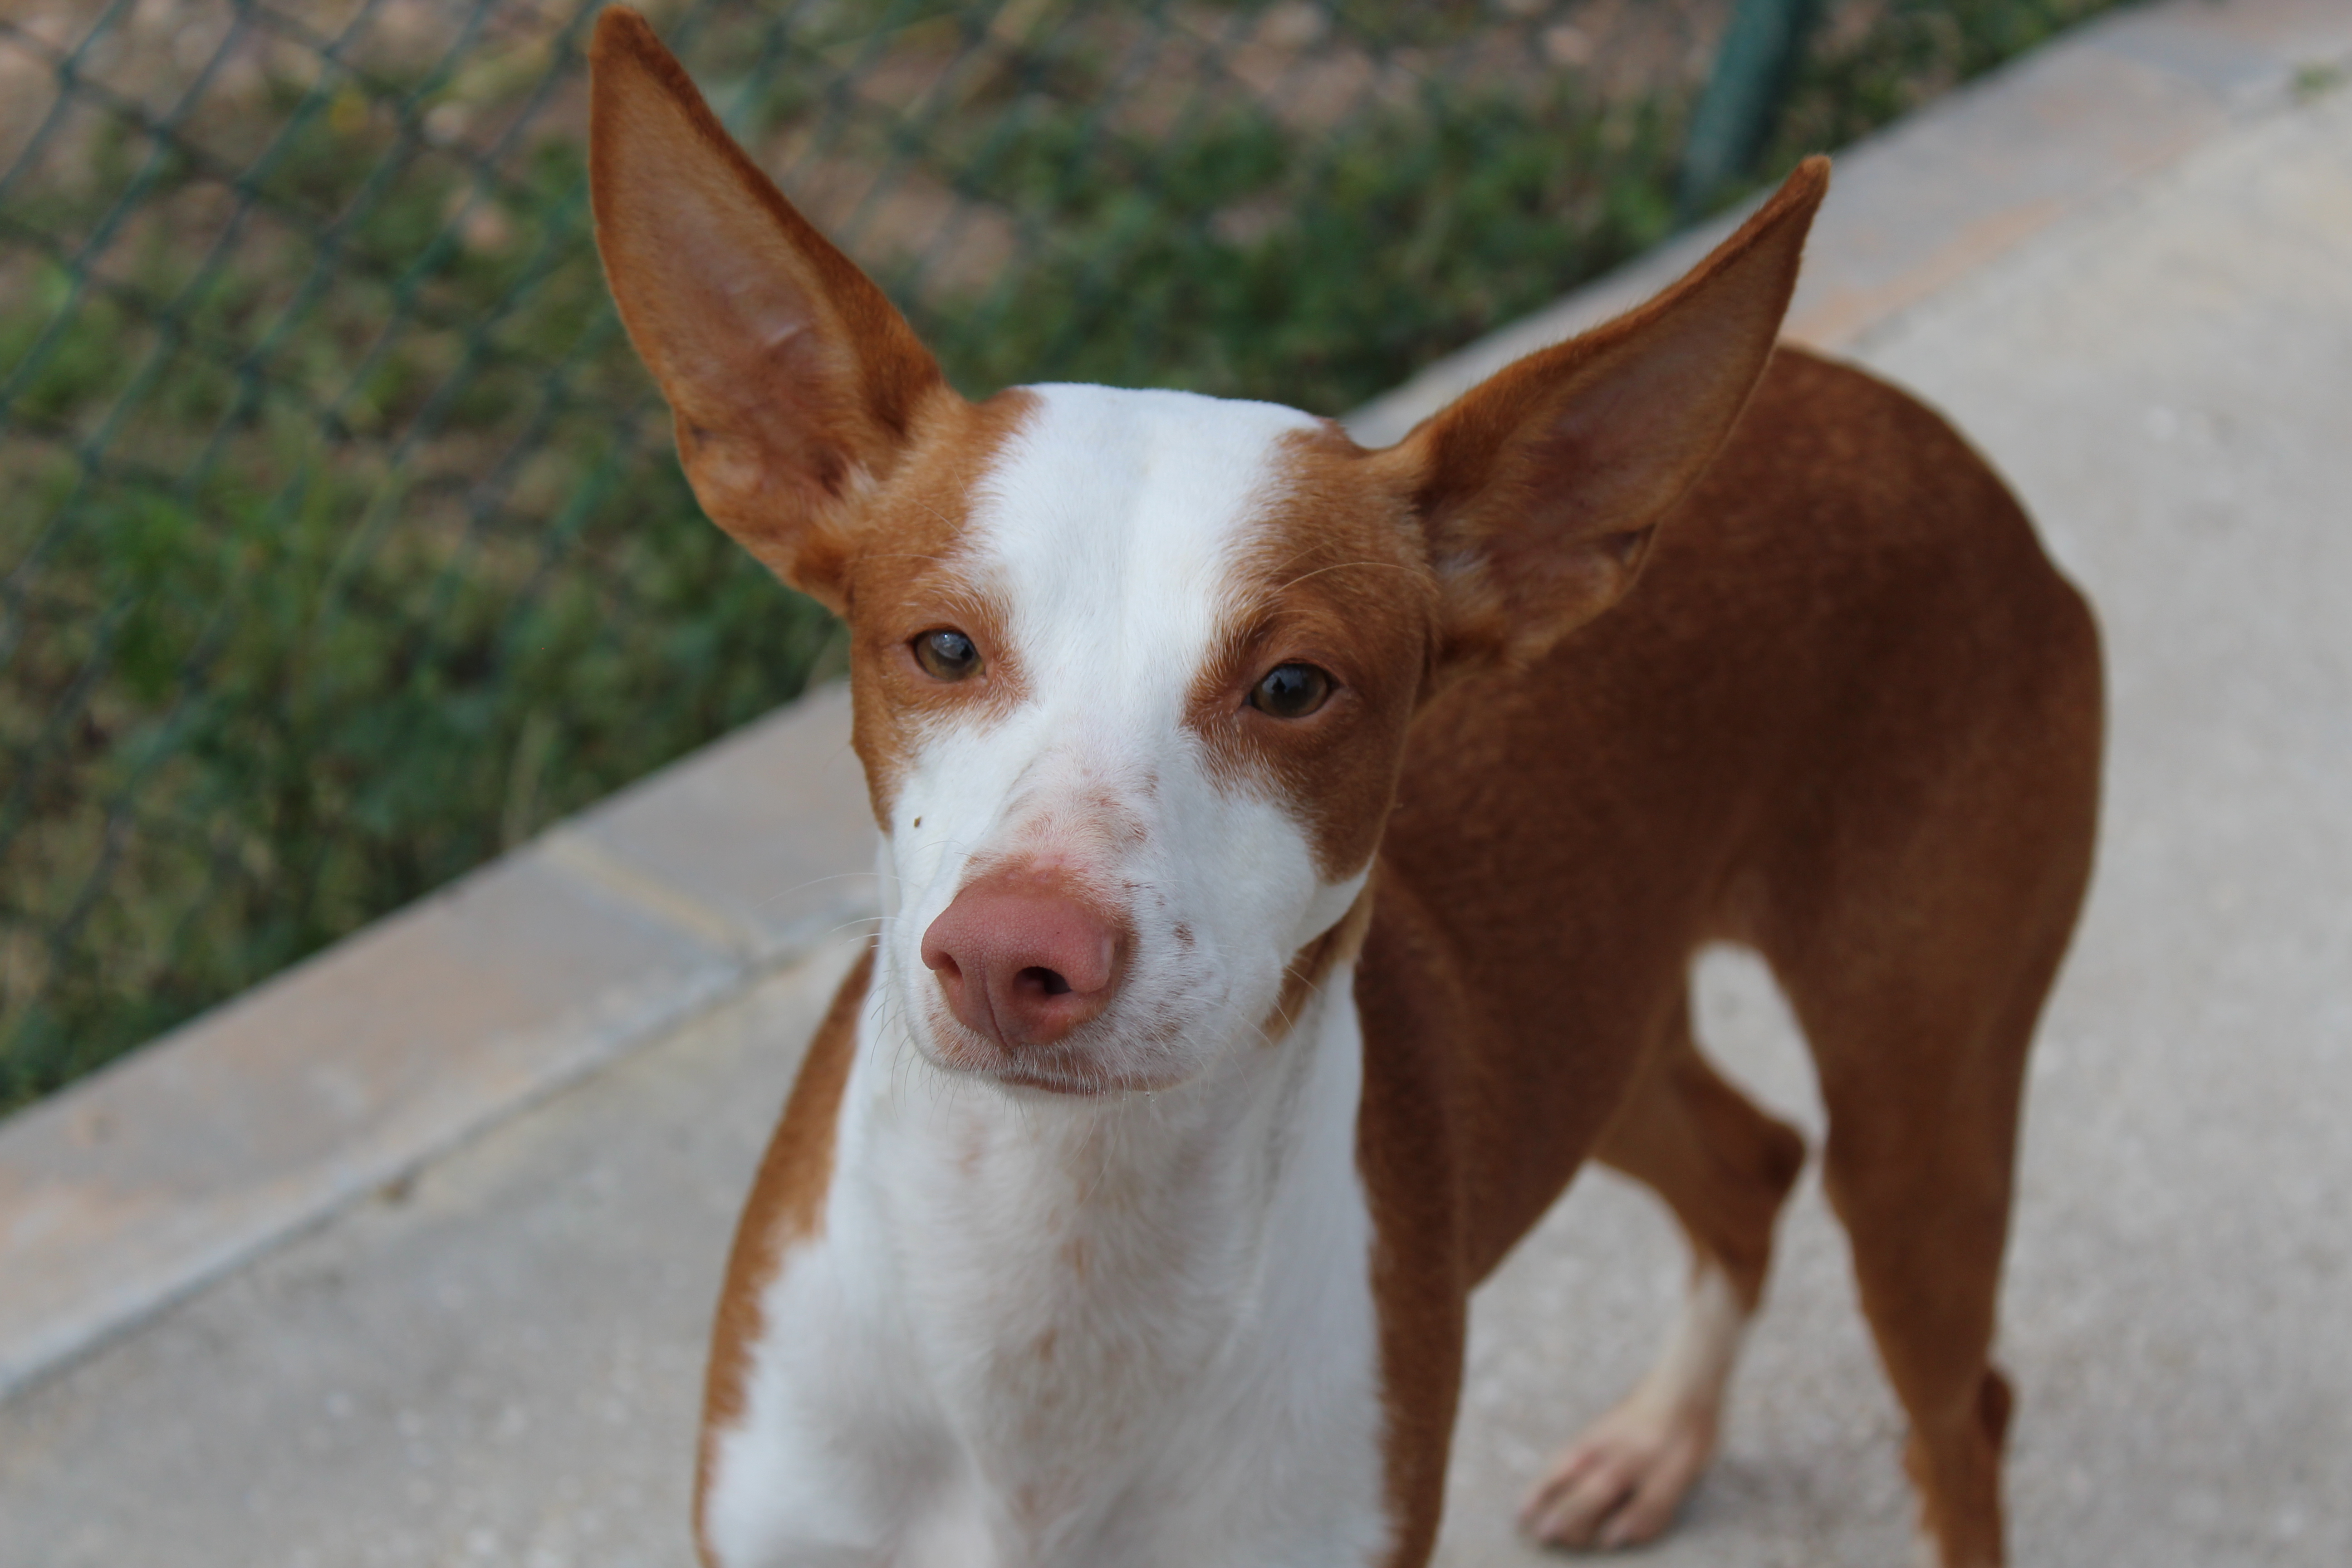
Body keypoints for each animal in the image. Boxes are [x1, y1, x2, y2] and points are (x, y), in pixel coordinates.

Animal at [583, 12, 2098, 1568]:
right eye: (943, 647)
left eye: (1295, 686)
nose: (1012, 957)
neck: (1051, 1290)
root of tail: (1905, 420)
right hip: (1591, 1026)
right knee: (1753, 1163)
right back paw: (1659, 1442)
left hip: (1915, 1121)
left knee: (1956, 1402)